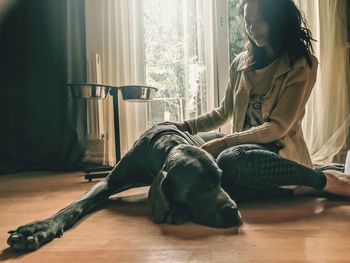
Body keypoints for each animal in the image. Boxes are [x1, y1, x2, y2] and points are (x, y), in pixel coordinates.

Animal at [8, 125, 243, 253]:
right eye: (196, 187)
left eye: (220, 179)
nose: (234, 211)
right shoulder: (108, 181)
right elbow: (75, 205)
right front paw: (40, 227)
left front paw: (177, 210)